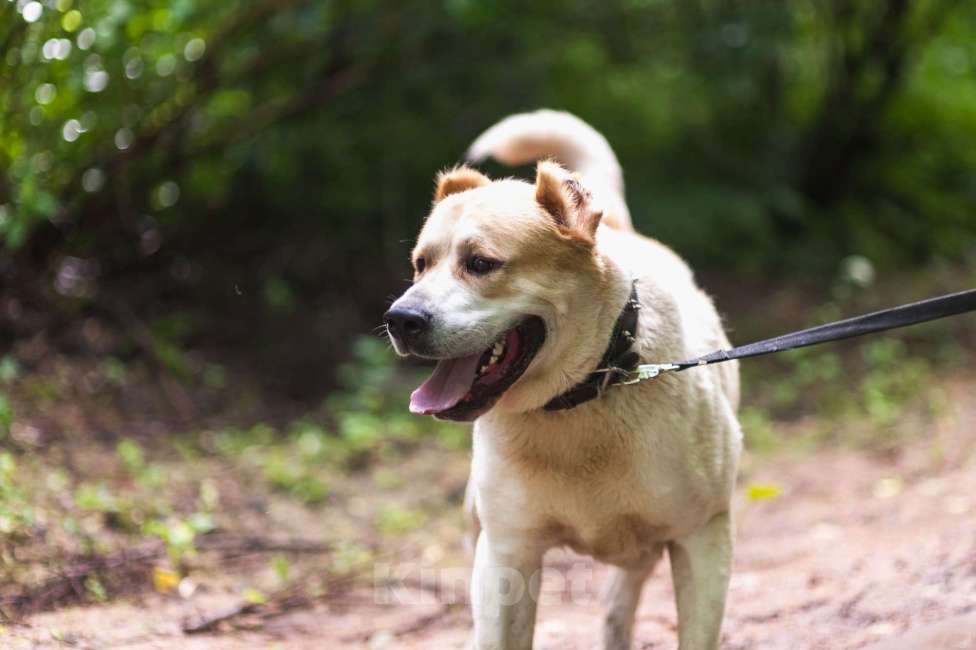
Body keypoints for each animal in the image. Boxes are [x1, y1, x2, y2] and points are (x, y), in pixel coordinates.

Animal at [386, 111, 744, 648]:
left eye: (481, 263)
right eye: (420, 265)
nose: (400, 319)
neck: (581, 397)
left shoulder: (703, 537)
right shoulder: (506, 556)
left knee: (620, 603)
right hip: (476, 524)